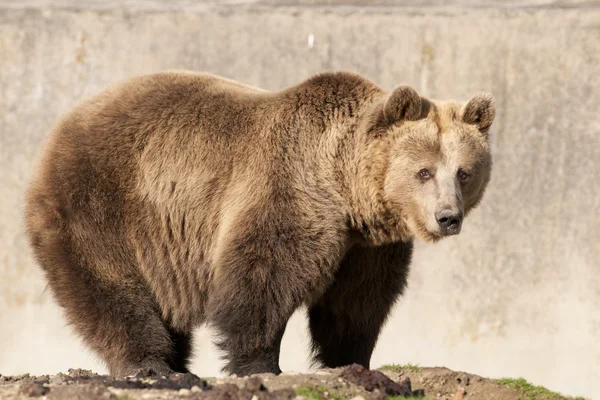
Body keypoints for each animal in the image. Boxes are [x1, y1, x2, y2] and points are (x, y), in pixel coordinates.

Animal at [23, 71, 494, 378]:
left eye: (464, 172)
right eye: (424, 171)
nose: (447, 217)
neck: (346, 191)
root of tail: (62, 126)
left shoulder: (366, 247)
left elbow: (356, 302)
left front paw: (351, 361)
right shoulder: (288, 193)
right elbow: (262, 280)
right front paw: (260, 364)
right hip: (102, 204)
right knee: (112, 287)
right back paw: (150, 365)